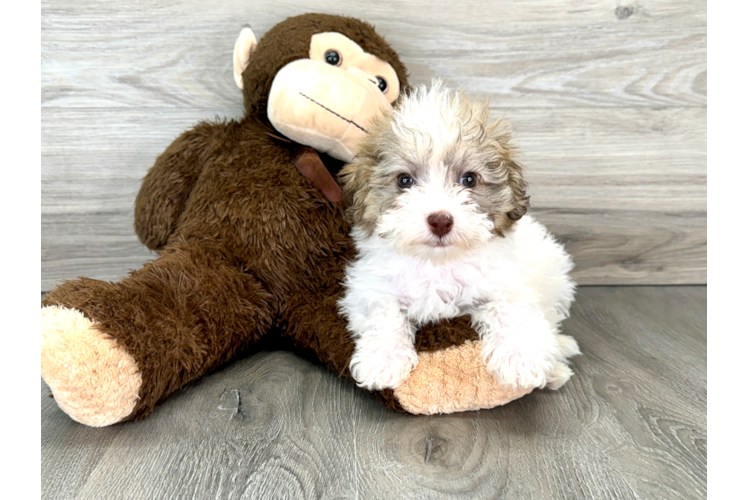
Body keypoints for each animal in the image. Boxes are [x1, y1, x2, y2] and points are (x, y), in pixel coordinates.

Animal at [338, 81, 580, 394]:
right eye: (404, 180)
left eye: (469, 179)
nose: (440, 220)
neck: (439, 261)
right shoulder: (367, 287)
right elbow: (383, 310)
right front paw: (383, 359)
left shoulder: (509, 281)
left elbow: (511, 307)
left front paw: (520, 358)